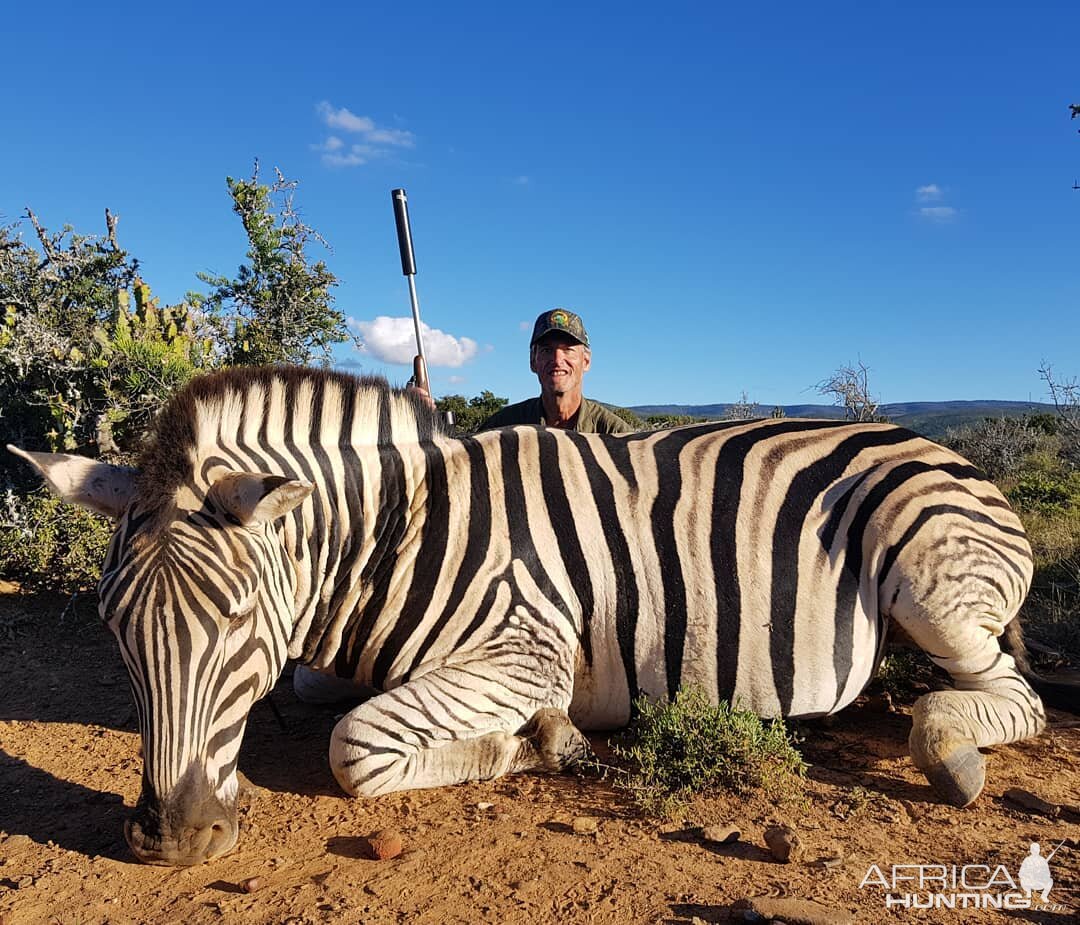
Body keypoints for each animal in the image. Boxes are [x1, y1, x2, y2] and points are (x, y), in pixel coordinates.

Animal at [8, 367, 1067, 868]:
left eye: (234, 622)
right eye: (110, 624)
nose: (172, 838)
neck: (397, 534)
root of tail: (955, 456)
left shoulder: (528, 649)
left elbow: (357, 746)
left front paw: (542, 742)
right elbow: (316, 690)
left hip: (929, 582)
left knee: (1012, 698)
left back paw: (950, 749)